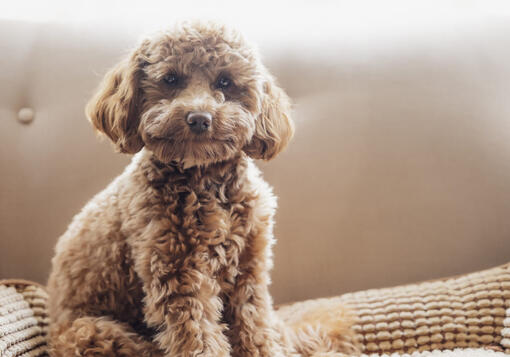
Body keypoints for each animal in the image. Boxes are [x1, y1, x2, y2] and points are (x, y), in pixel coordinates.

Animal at [47, 20, 358, 354]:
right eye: (171, 79)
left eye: (225, 81)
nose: (199, 118)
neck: (206, 180)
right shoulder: (179, 276)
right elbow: (199, 338)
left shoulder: (248, 271)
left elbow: (255, 327)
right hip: (90, 332)